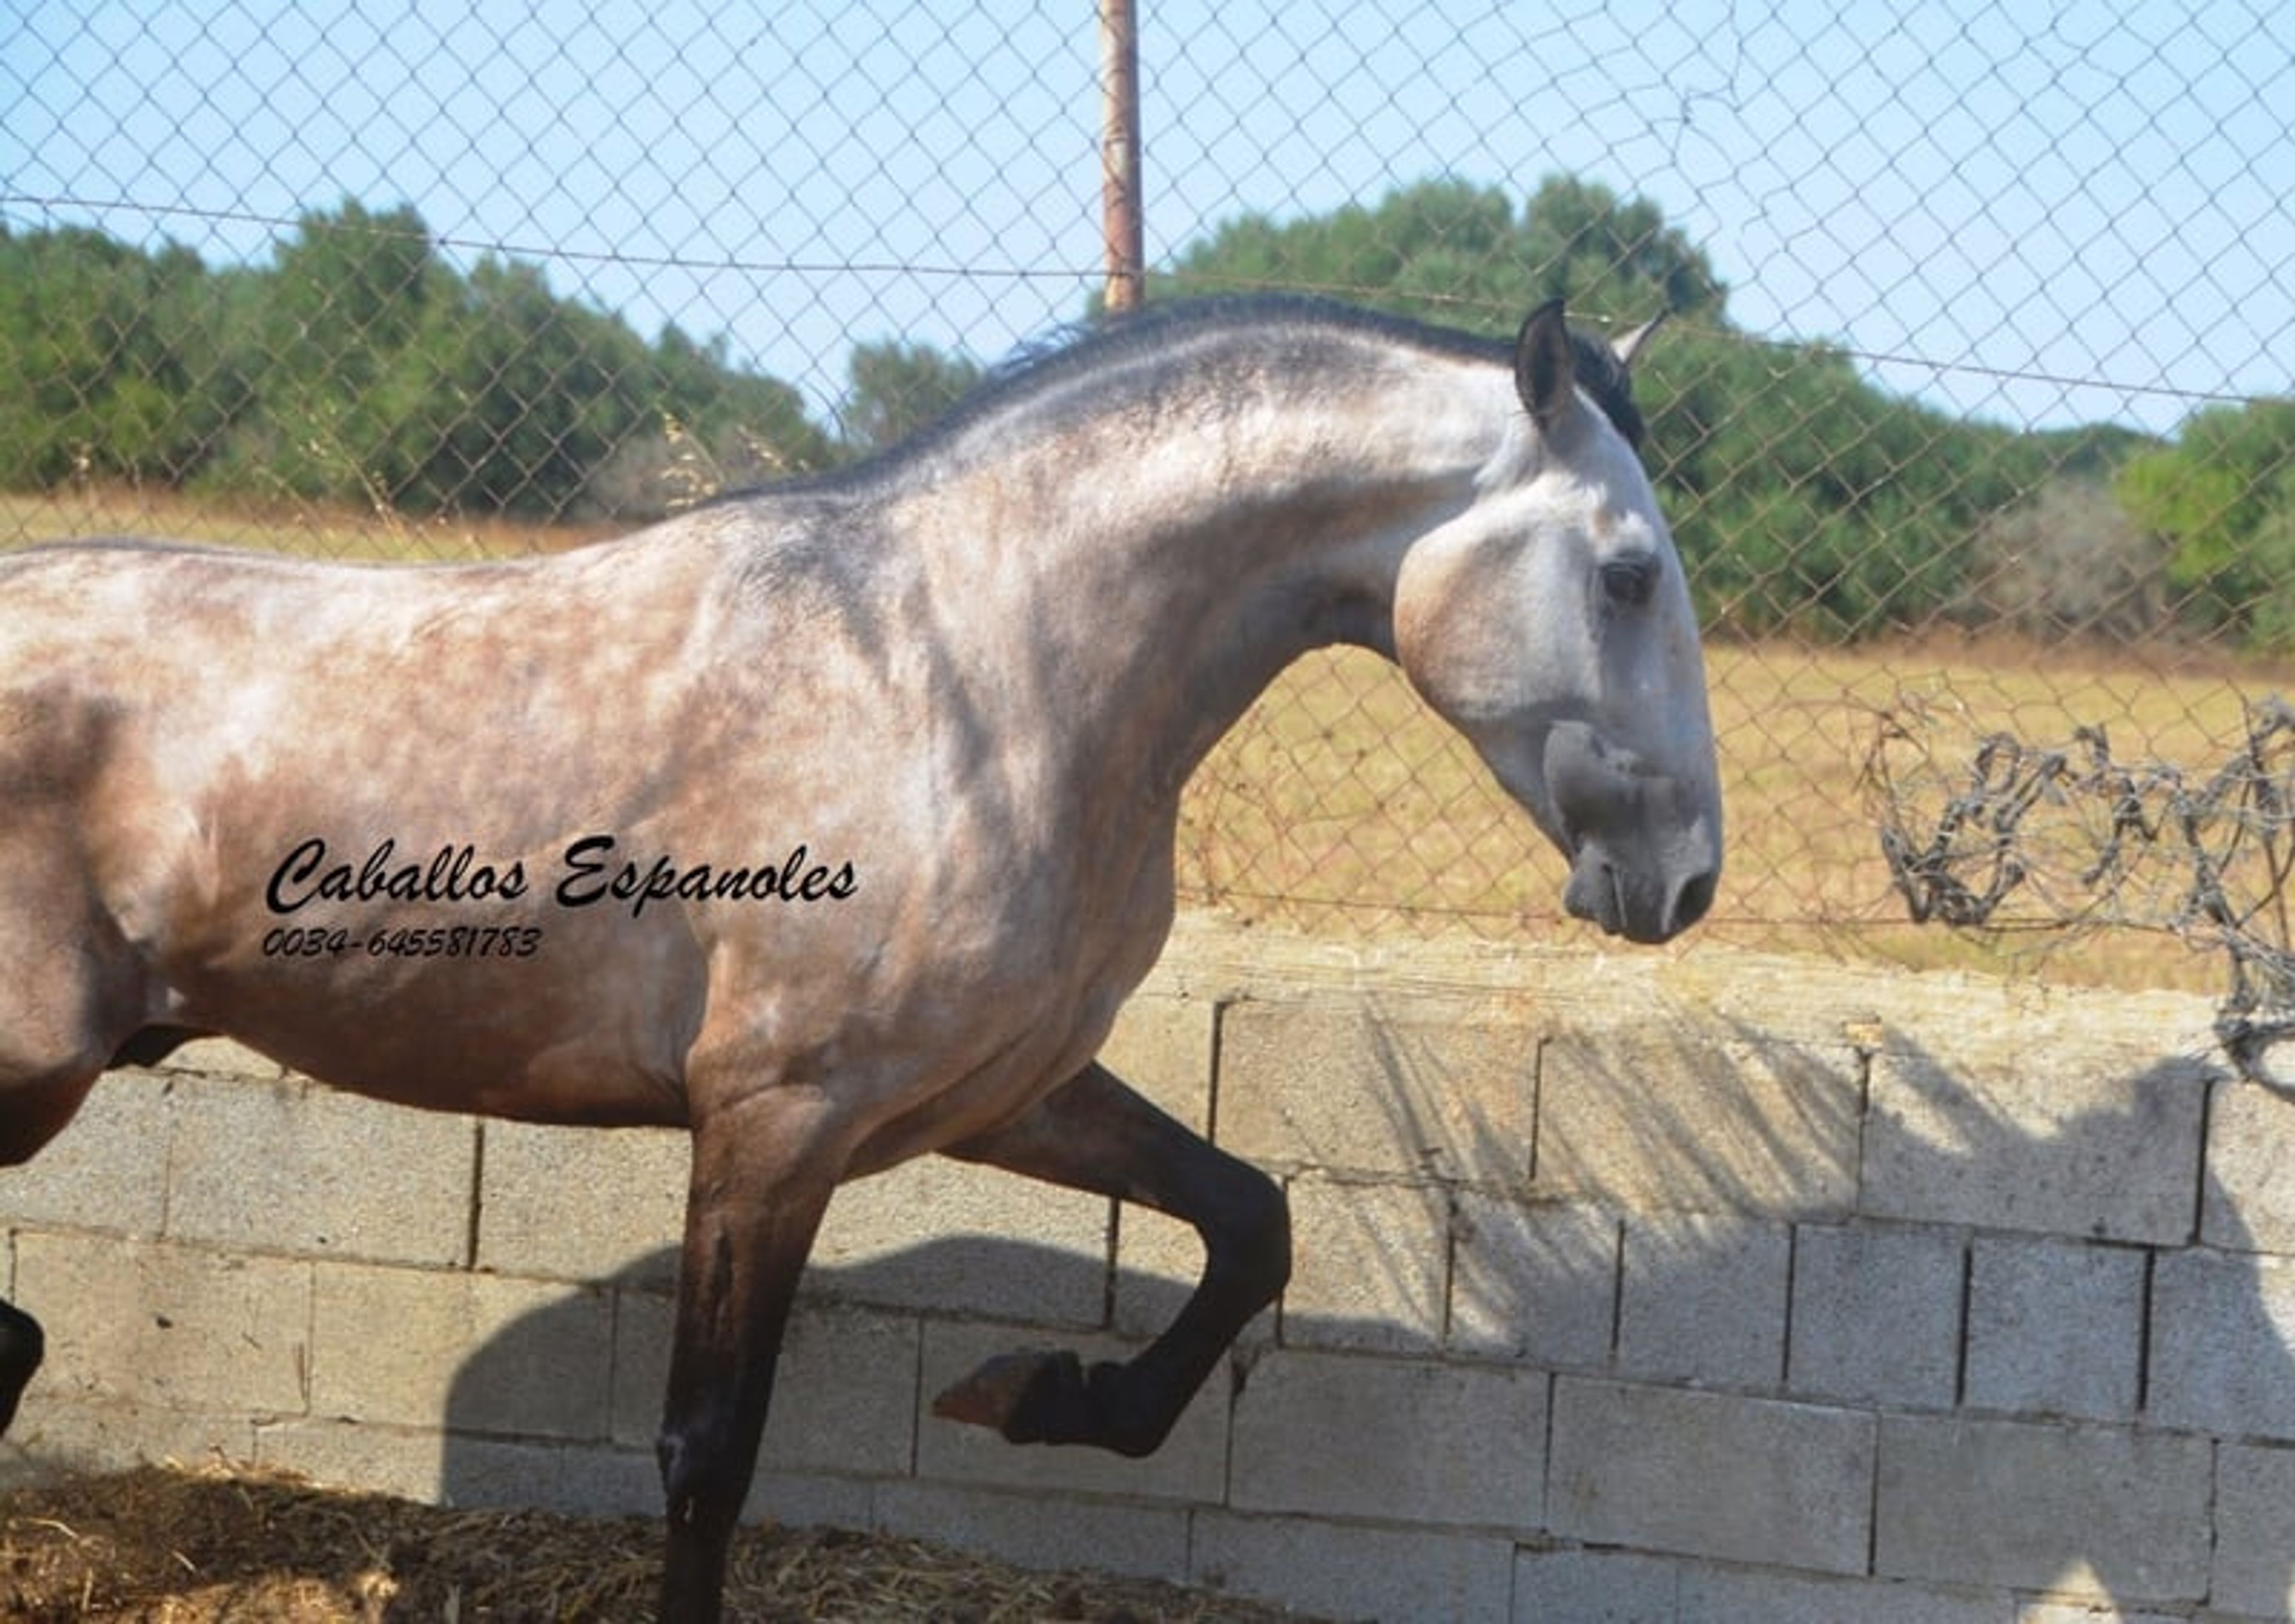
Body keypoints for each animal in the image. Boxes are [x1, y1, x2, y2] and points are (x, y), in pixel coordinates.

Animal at [0, 293, 1720, 1621]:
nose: (1688, 879)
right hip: (33, 1076)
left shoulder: (997, 1087)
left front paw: (1041, 1396)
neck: (967, 676)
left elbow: (1253, 1222)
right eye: (1628, 570)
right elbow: (709, 1449)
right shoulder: (777, 1114)